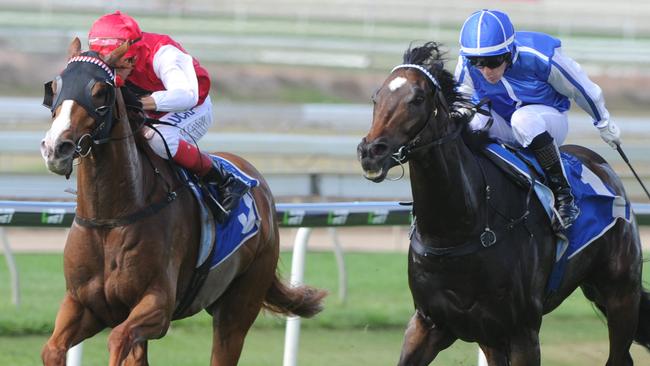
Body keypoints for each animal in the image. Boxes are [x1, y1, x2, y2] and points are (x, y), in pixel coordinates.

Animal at [39, 38, 324, 364]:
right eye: (55, 86)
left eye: (100, 91)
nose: (56, 147)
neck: (111, 217)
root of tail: (257, 181)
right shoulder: (83, 304)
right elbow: (52, 349)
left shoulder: (159, 305)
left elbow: (118, 338)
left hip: (239, 306)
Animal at [354, 41, 648, 364]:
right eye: (376, 97)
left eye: (417, 98)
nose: (371, 151)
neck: (459, 229)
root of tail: (603, 167)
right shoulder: (431, 323)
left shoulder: (522, 333)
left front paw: (608, 128)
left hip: (620, 294)